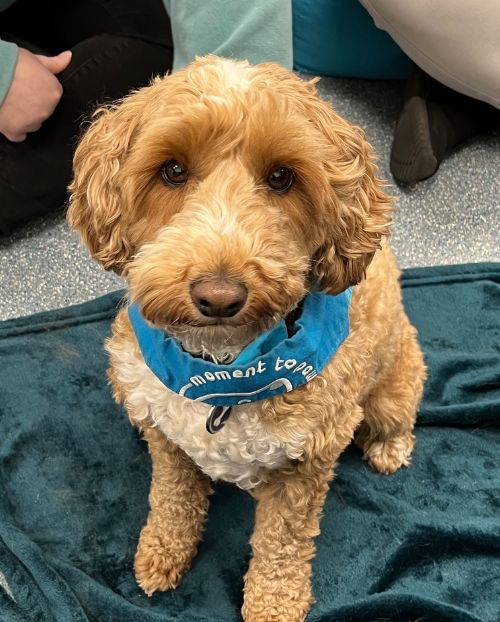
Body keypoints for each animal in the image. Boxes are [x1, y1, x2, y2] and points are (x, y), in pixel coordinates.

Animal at [66, 56, 426, 622]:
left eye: (281, 177)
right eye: (172, 170)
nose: (218, 296)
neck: (224, 369)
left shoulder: (306, 464)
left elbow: (282, 546)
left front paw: (272, 605)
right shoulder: (167, 437)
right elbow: (172, 497)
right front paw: (162, 551)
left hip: (394, 384)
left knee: (397, 419)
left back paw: (389, 449)